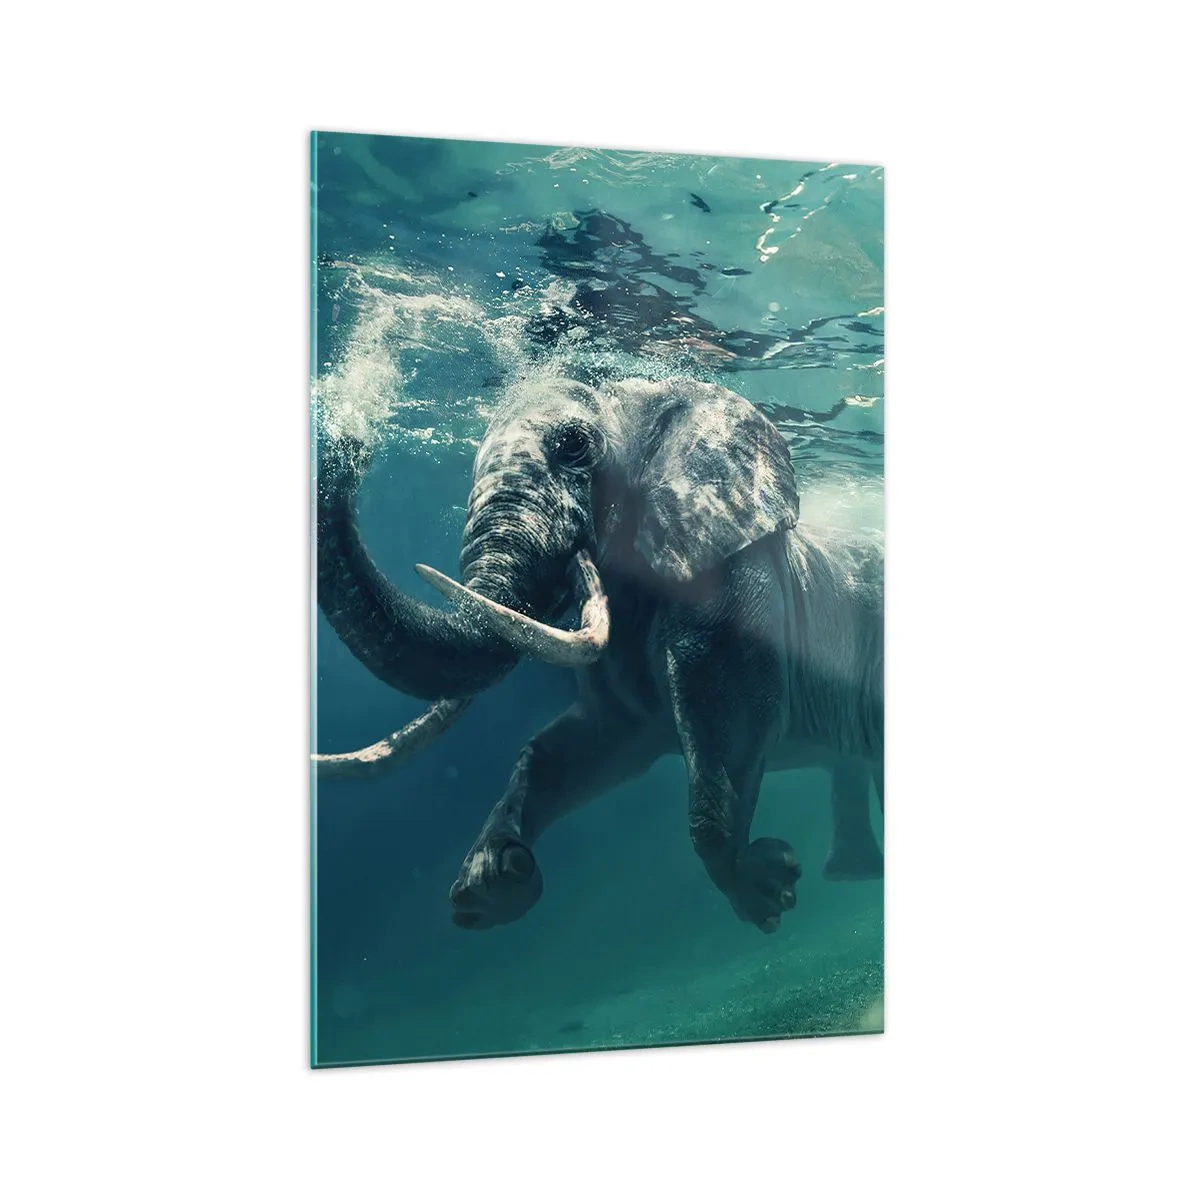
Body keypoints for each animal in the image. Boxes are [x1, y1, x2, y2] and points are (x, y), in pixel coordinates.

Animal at [315, 375, 883, 934]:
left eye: (574, 447)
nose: (346, 446)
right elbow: (577, 746)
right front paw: (493, 883)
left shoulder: (736, 580)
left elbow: (728, 716)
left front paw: (766, 888)